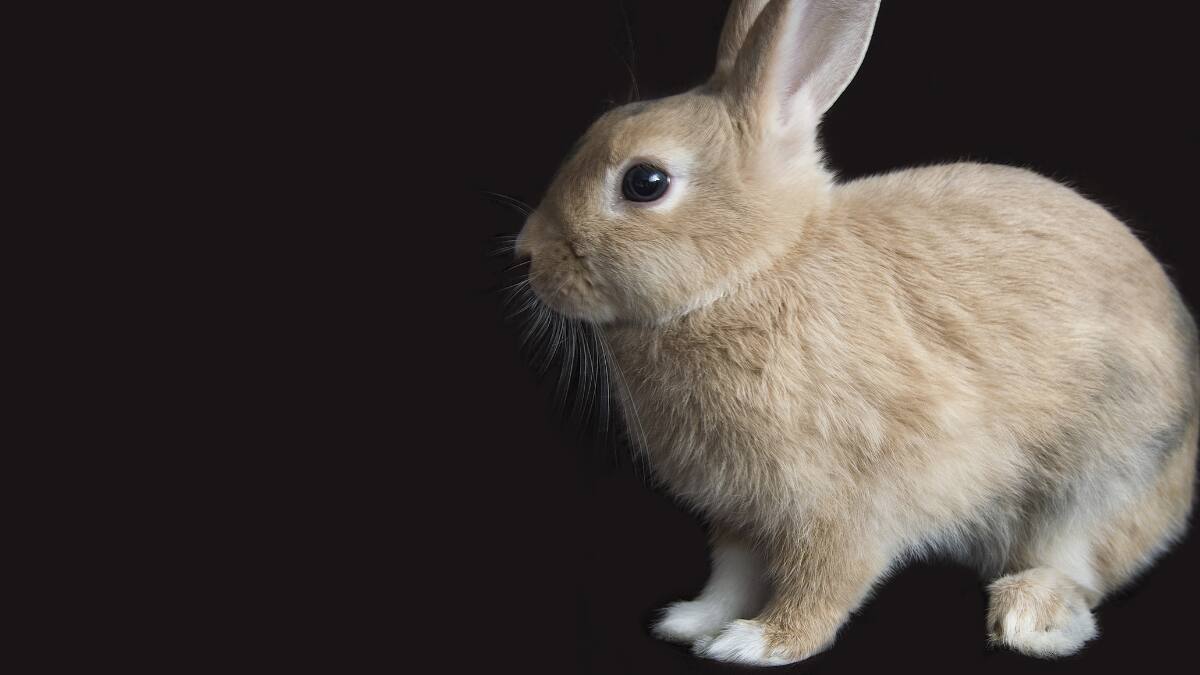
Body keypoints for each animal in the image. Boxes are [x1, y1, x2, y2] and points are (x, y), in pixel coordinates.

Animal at [512, 0, 1198, 665]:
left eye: (645, 182)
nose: (526, 254)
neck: (755, 269)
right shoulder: (740, 513)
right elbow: (731, 576)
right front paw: (692, 623)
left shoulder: (848, 502)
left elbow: (825, 580)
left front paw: (757, 643)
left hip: (1096, 486)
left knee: (1080, 569)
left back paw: (1029, 617)